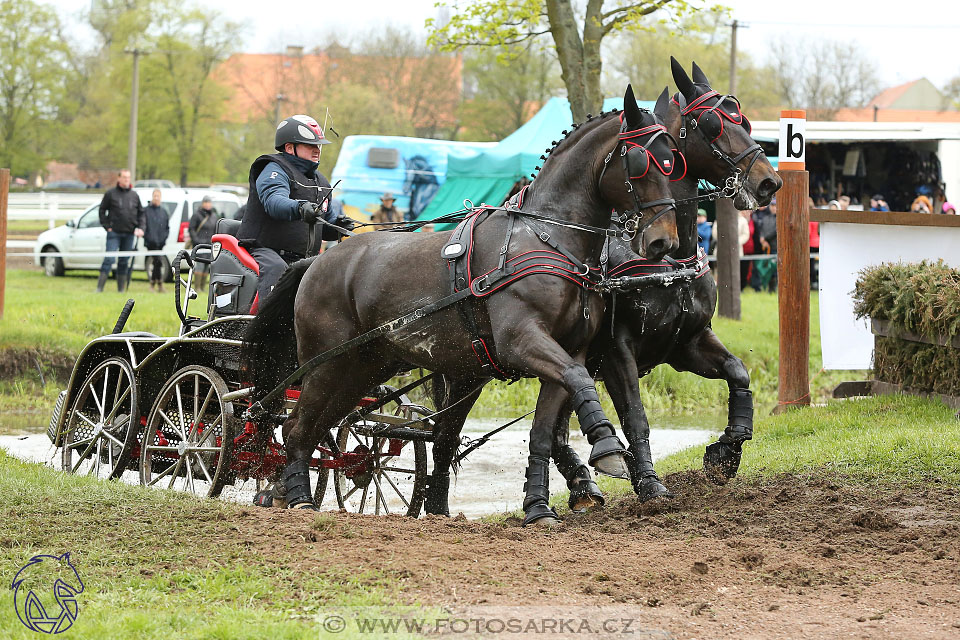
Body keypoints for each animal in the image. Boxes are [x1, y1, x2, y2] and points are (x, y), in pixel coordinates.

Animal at [244, 86, 688, 516]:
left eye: (674, 163)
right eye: (641, 162)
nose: (663, 242)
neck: (546, 239)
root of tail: (317, 261)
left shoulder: (567, 352)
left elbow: (544, 432)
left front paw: (538, 506)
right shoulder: (522, 342)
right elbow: (580, 382)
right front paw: (607, 448)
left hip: (363, 368)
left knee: (324, 428)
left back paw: (291, 492)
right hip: (326, 364)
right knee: (297, 427)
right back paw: (298, 497)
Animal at [424, 57, 784, 524]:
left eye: (742, 117)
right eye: (711, 124)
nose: (768, 182)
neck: (668, 263)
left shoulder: (685, 343)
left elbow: (738, 372)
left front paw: (725, 452)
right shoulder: (617, 351)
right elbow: (636, 416)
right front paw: (649, 483)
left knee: (551, 429)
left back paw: (580, 484)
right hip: (469, 371)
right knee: (444, 437)